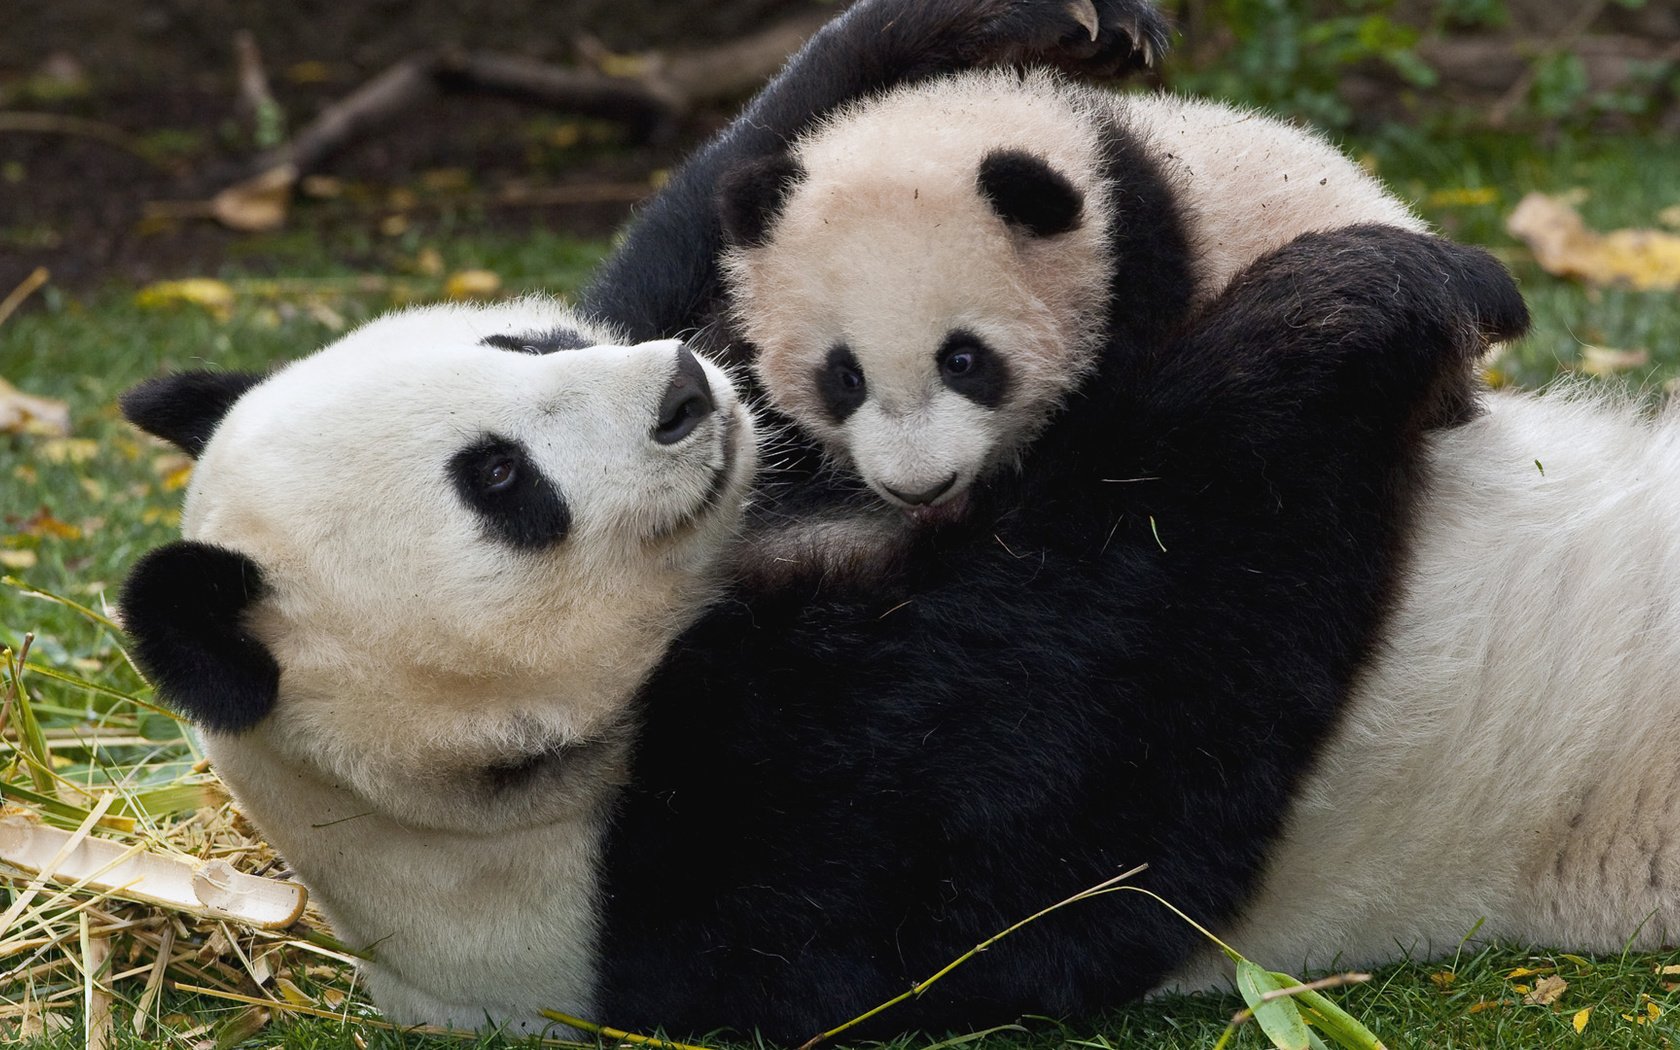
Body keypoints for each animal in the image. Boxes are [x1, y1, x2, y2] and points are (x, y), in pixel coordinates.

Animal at [118, 225, 1512, 1034]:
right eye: (500, 481)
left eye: (521, 336)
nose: (685, 391)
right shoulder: (722, 872)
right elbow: (1126, 708)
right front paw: (1358, 299)